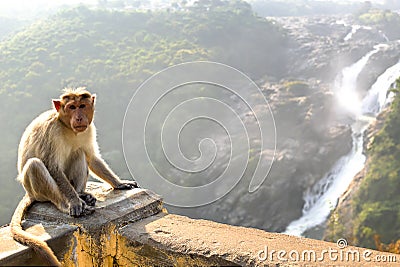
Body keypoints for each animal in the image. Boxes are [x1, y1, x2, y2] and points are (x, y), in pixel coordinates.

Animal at [10, 87, 139, 266]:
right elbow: (53, 168)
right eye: (72, 107)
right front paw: (74, 202)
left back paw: (80, 193)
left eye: (82, 106)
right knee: (35, 165)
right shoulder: (52, 131)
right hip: (36, 192)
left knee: (79, 152)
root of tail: (29, 193)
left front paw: (119, 183)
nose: (79, 117)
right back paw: (67, 203)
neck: (68, 128)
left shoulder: (89, 129)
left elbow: (91, 157)